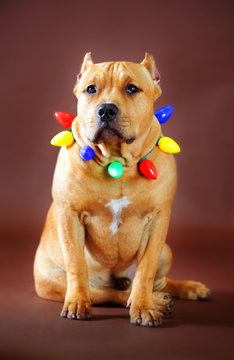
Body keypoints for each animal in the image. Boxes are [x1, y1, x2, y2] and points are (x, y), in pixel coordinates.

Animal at [33, 52, 210, 326]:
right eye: (91, 89)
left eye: (132, 88)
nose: (106, 109)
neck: (117, 163)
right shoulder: (69, 215)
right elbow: (76, 265)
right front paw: (77, 303)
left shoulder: (158, 220)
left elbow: (145, 271)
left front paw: (144, 306)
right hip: (53, 281)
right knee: (108, 293)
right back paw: (156, 300)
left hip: (166, 251)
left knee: (154, 282)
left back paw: (185, 289)